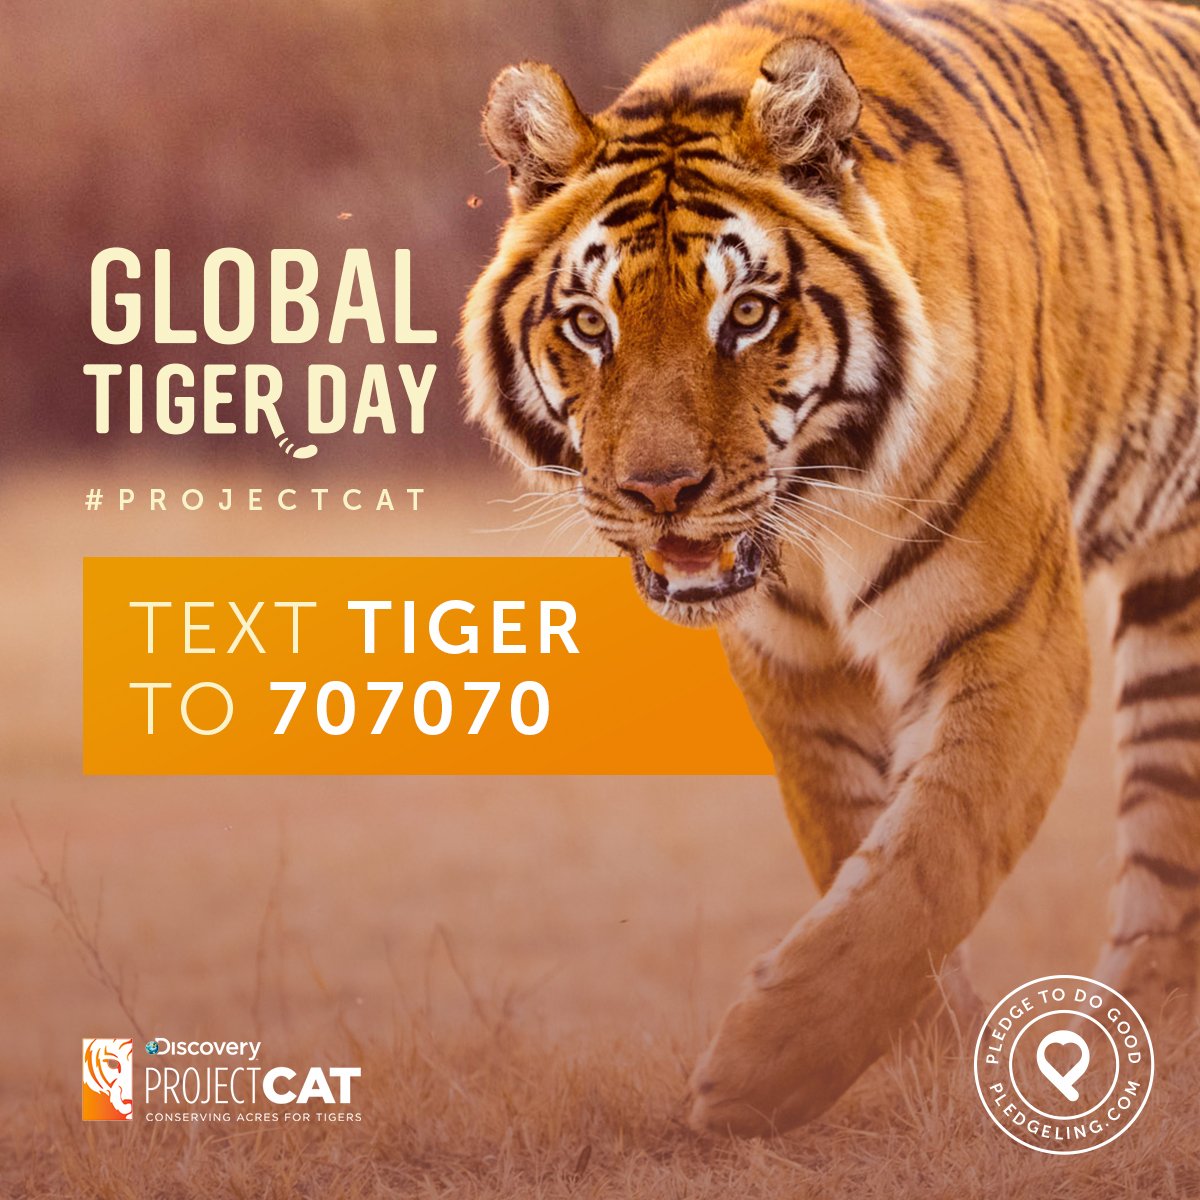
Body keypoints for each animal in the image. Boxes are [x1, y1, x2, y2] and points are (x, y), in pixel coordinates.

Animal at [460, 0, 1200, 1135]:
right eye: (590, 325)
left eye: (747, 314)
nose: (661, 491)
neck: (814, 510)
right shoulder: (790, 661)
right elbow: (853, 835)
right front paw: (923, 1054)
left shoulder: (1010, 634)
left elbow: (935, 855)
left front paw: (762, 1072)